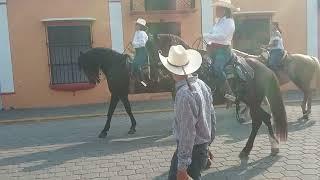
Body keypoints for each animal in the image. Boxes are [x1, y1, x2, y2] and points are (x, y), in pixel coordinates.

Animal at [151, 33, 290, 158]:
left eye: (151, 48)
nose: (153, 77)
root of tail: (264, 68)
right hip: (252, 102)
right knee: (262, 119)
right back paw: (260, 148)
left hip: (252, 101)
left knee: (261, 119)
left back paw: (259, 148)